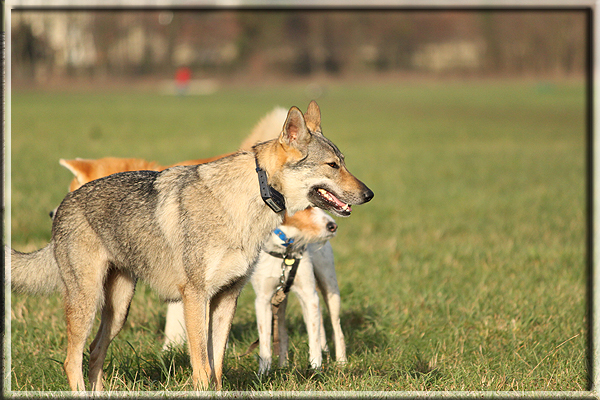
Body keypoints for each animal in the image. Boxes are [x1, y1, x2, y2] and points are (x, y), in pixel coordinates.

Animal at [162, 208, 346, 374]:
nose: (333, 226)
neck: (284, 251)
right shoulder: (263, 300)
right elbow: (265, 341)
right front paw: (263, 374)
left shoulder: (309, 295)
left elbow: (313, 337)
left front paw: (316, 370)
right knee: (283, 331)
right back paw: (284, 365)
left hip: (329, 287)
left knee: (336, 328)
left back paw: (341, 362)